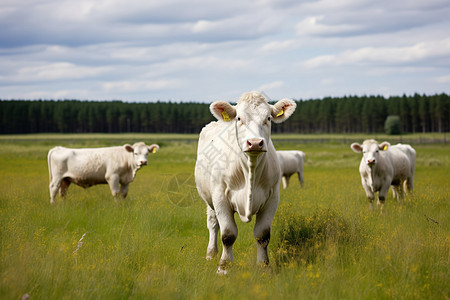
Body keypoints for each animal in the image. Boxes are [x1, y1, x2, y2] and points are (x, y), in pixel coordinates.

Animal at [195, 90, 298, 274]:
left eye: (268, 118)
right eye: (239, 118)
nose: (255, 142)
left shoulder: (272, 198)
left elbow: (262, 235)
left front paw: (264, 266)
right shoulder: (220, 197)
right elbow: (228, 234)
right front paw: (224, 267)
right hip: (208, 198)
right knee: (213, 224)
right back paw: (211, 254)